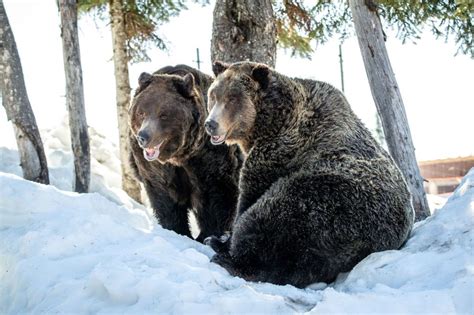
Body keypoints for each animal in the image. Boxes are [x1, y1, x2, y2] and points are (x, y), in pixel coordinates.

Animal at [129, 63, 243, 242]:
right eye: (141, 112)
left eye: (164, 114)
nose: (143, 136)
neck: (180, 155)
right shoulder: (155, 168)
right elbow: (164, 198)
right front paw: (177, 230)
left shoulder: (208, 159)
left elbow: (217, 196)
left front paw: (210, 234)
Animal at [204, 61, 414, 288]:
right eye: (214, 95)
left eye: (232, 98)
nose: (211, 123)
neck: (267, 123)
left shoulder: (276, 152)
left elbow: (248, 196)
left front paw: (223, 239)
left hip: (325, 202)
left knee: (271, 220)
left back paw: (227, 257)